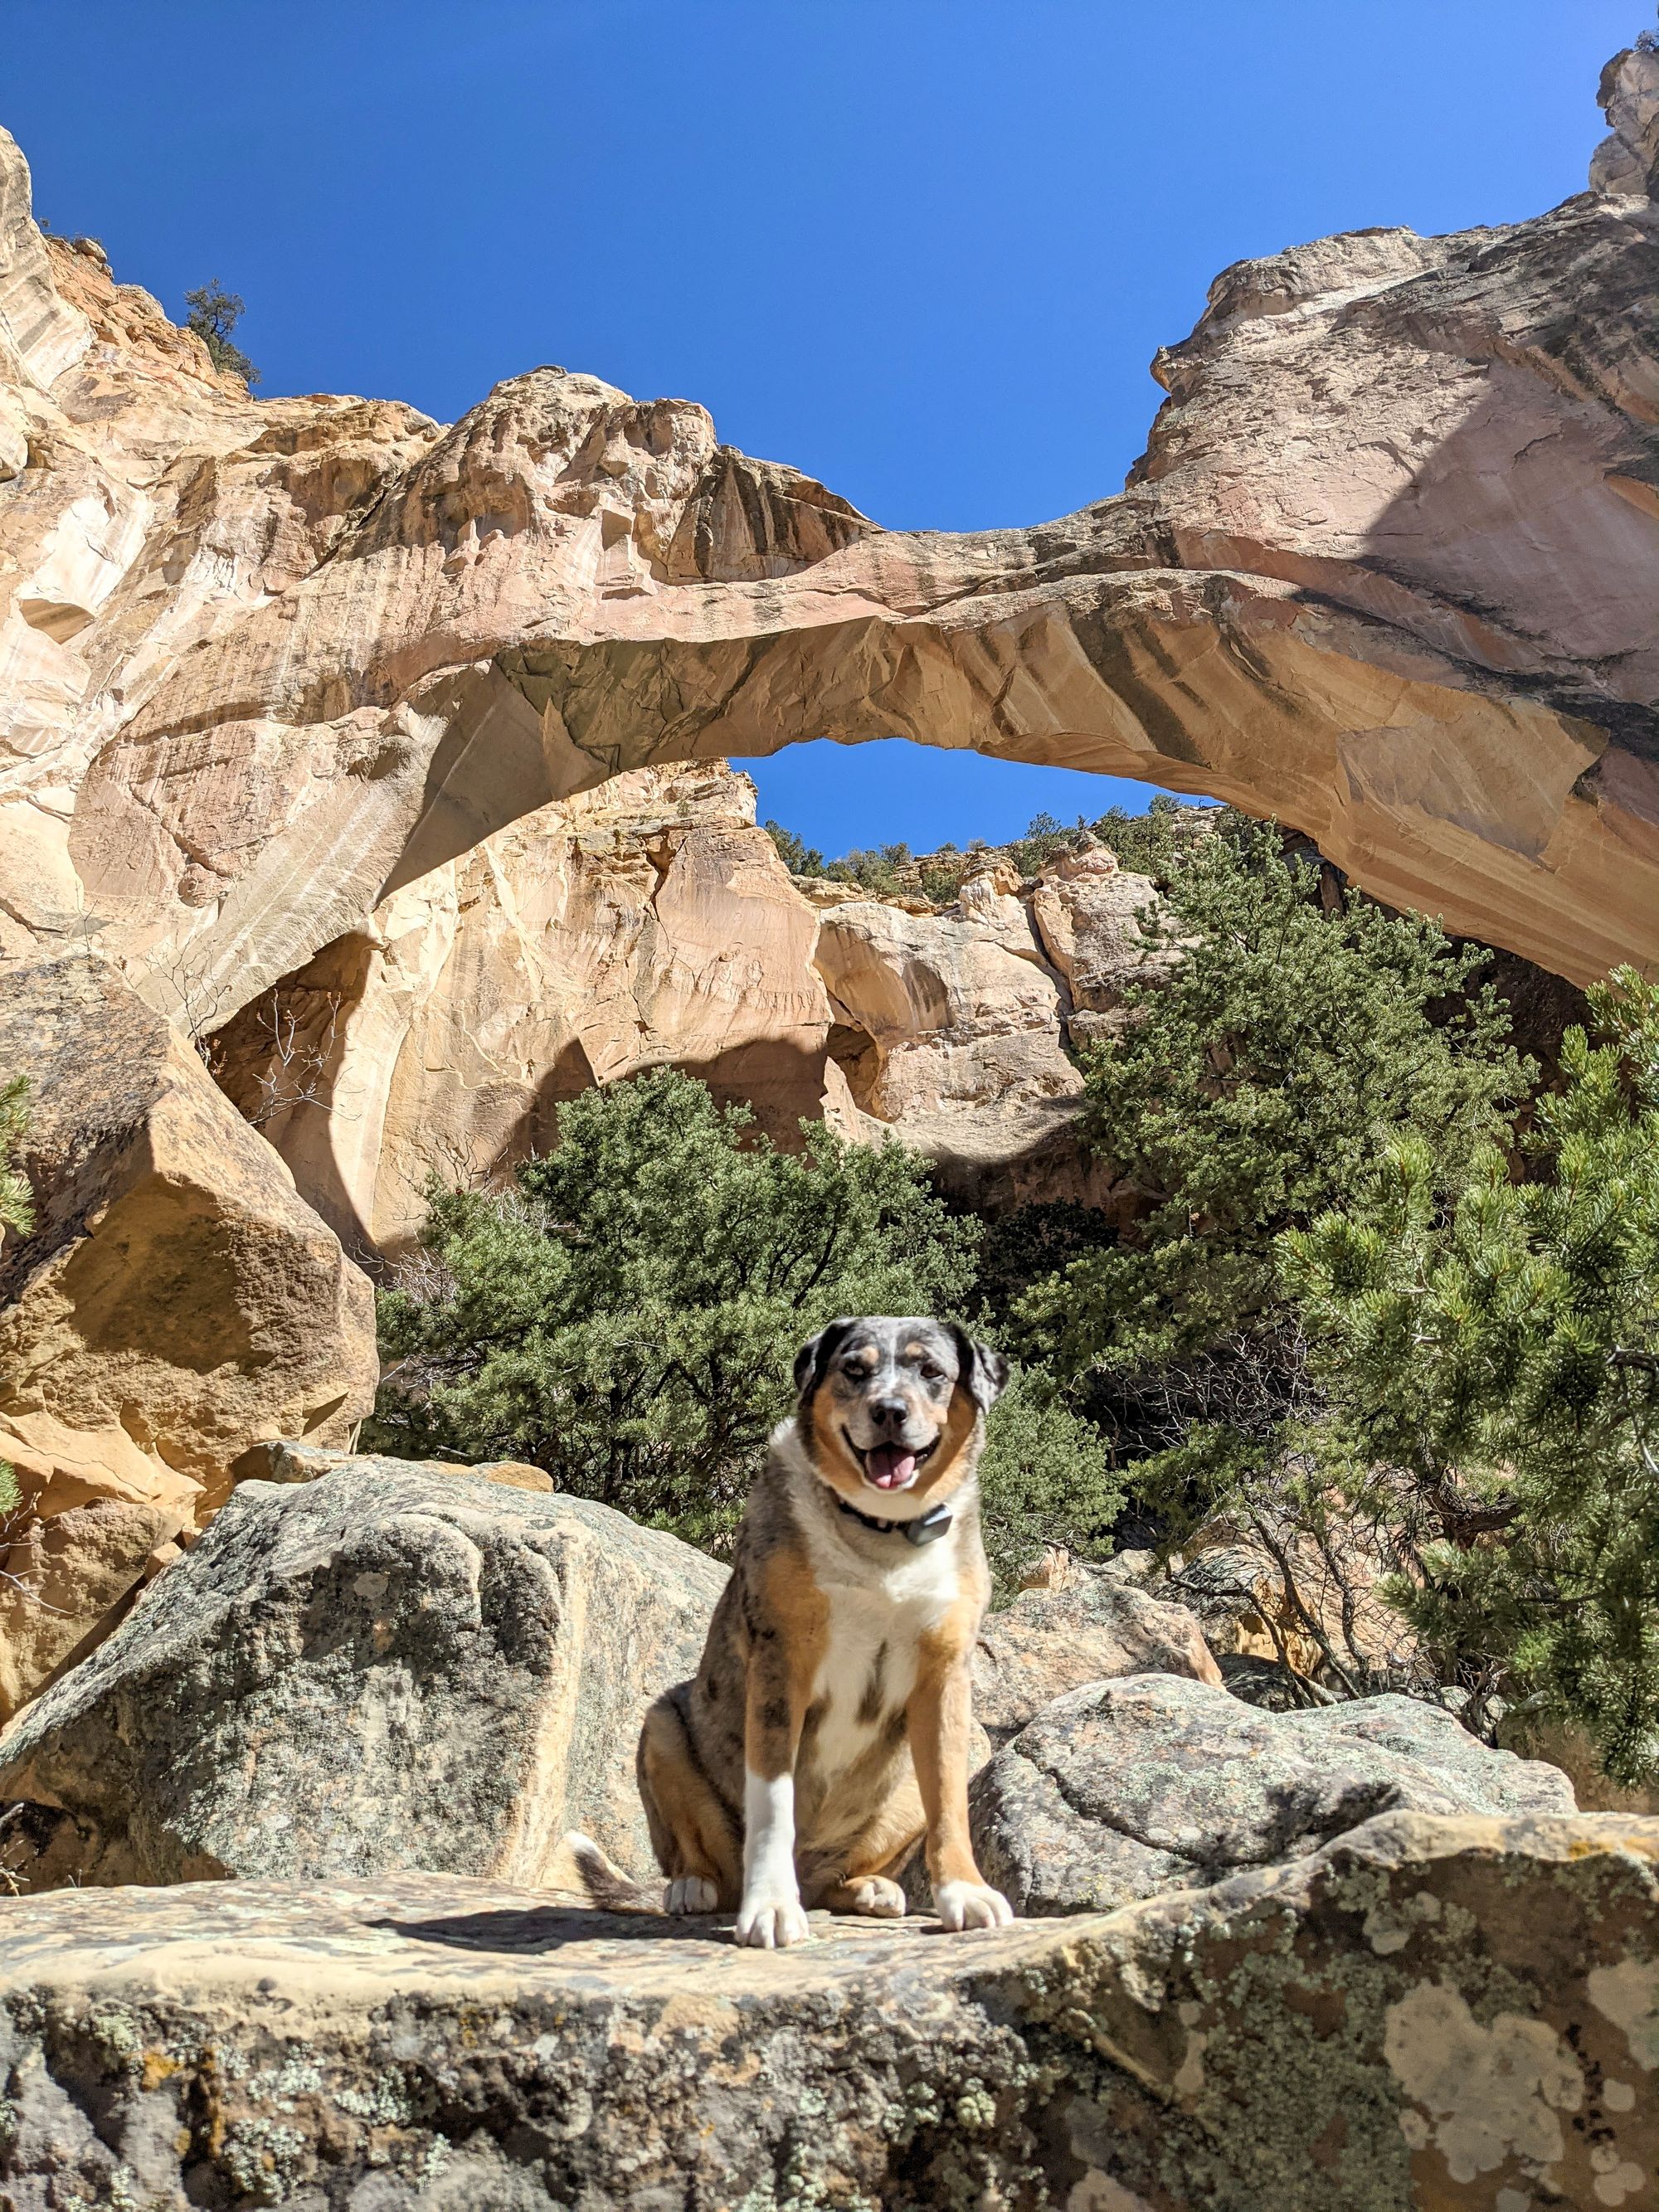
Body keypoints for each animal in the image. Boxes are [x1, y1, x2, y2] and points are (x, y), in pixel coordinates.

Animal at [628, 1318, 1013, 1946]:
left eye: (931, 1370)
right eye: (854, 1369)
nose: (889, 1410)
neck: (881, 1535)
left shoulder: (944, 1676)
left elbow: (951, 1804)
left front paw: (966, 1892)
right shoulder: (782, 1667)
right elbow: (773, 1803)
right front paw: (771, 1906)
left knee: (850, 1869)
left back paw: (869, 1889)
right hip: (662, 1727)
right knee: (701, 1856)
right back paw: (694, 1886)